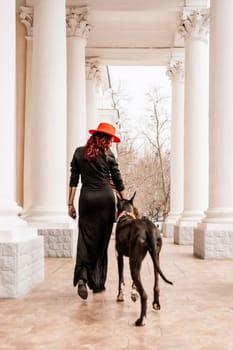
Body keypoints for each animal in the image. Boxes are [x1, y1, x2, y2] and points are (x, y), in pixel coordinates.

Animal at [115, 191, 173, 326]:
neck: (126, 214)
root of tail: (148, 228)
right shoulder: (136, 258)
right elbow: (133, 283)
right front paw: (133, 293)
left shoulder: (119, 256)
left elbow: (121, 278)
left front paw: (120, 296)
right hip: (155, 257)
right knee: (156, 283)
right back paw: (156, 303)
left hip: (133, 264)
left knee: (145, 294)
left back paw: (141, 319)